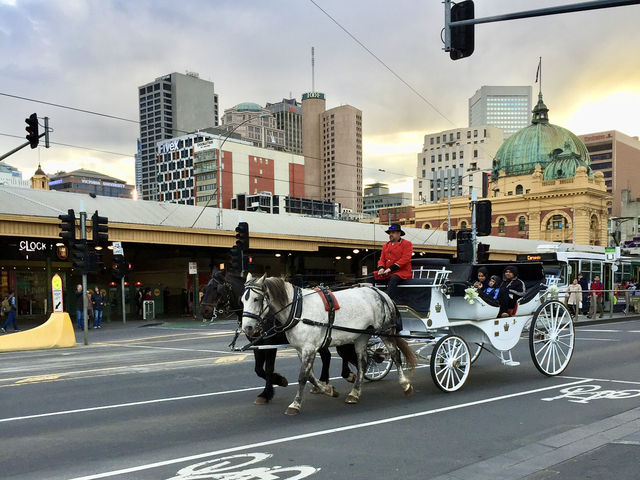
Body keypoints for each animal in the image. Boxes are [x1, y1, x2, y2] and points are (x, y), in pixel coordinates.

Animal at [240, 276, 416, 414]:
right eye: (242, 300)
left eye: (256, 299)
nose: (247, 328)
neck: (298, 310)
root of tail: (381, 293)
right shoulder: (301, 350)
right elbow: (310, 376)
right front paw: (328, 390)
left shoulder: (308, 349)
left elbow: (302, 376)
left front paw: (295, 404)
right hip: (361, 336)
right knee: (362, 362)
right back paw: (355, 393)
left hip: (386, 331)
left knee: (395, 355)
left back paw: (405, 384)